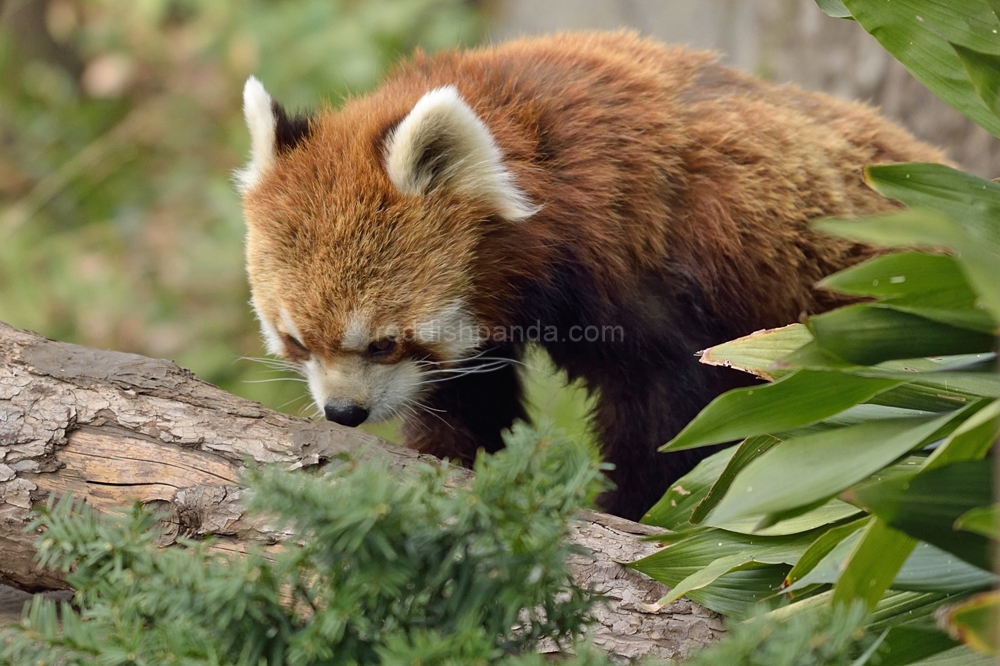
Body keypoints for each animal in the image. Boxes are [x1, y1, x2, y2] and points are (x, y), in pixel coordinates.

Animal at [234, 31, 944, 520]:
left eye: (383, 342)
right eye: (297, 342)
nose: (344, 412)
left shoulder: (651, 267)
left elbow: (673, 410)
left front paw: (637, 512)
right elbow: (468, 393)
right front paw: (455, 460)